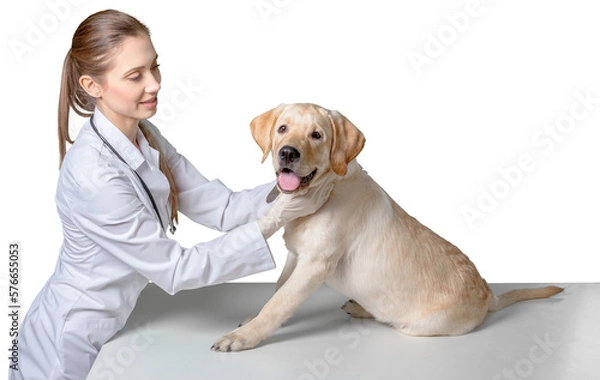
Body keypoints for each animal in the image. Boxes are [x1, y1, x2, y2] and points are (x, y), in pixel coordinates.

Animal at [210, 102, 564, 352]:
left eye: (316, 135)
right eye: (282, 128)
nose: (287, 152)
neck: (328, 188)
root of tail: (488, 295)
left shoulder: (315, 263)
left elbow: (279, 303)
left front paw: (244, 335)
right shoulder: (296, 256)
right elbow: (277, 292)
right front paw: (253, 321)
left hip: (418, 326)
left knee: (395, 318)